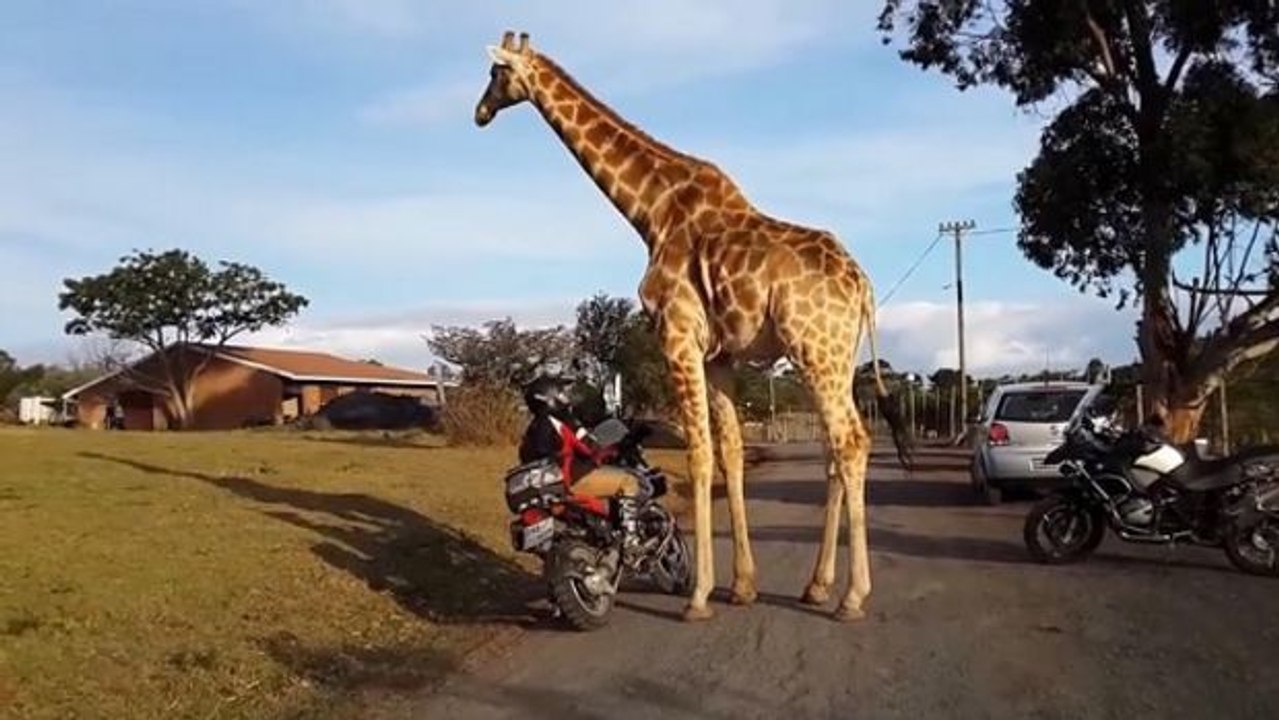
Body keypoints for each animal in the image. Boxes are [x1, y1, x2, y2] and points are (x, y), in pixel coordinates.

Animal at [474, 31, 912, 622]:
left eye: (496, 74)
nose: (480, 113)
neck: (650, 212)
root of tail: (861, 283)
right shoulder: (718, 355)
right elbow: (731, 455)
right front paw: (742, 586)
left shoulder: (677, 334)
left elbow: (698, 454)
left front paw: (700, 595)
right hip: (836, 358)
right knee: (834, 452)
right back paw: (816, 586)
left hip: (814, 350)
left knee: (852, 442)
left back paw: (851, 596)